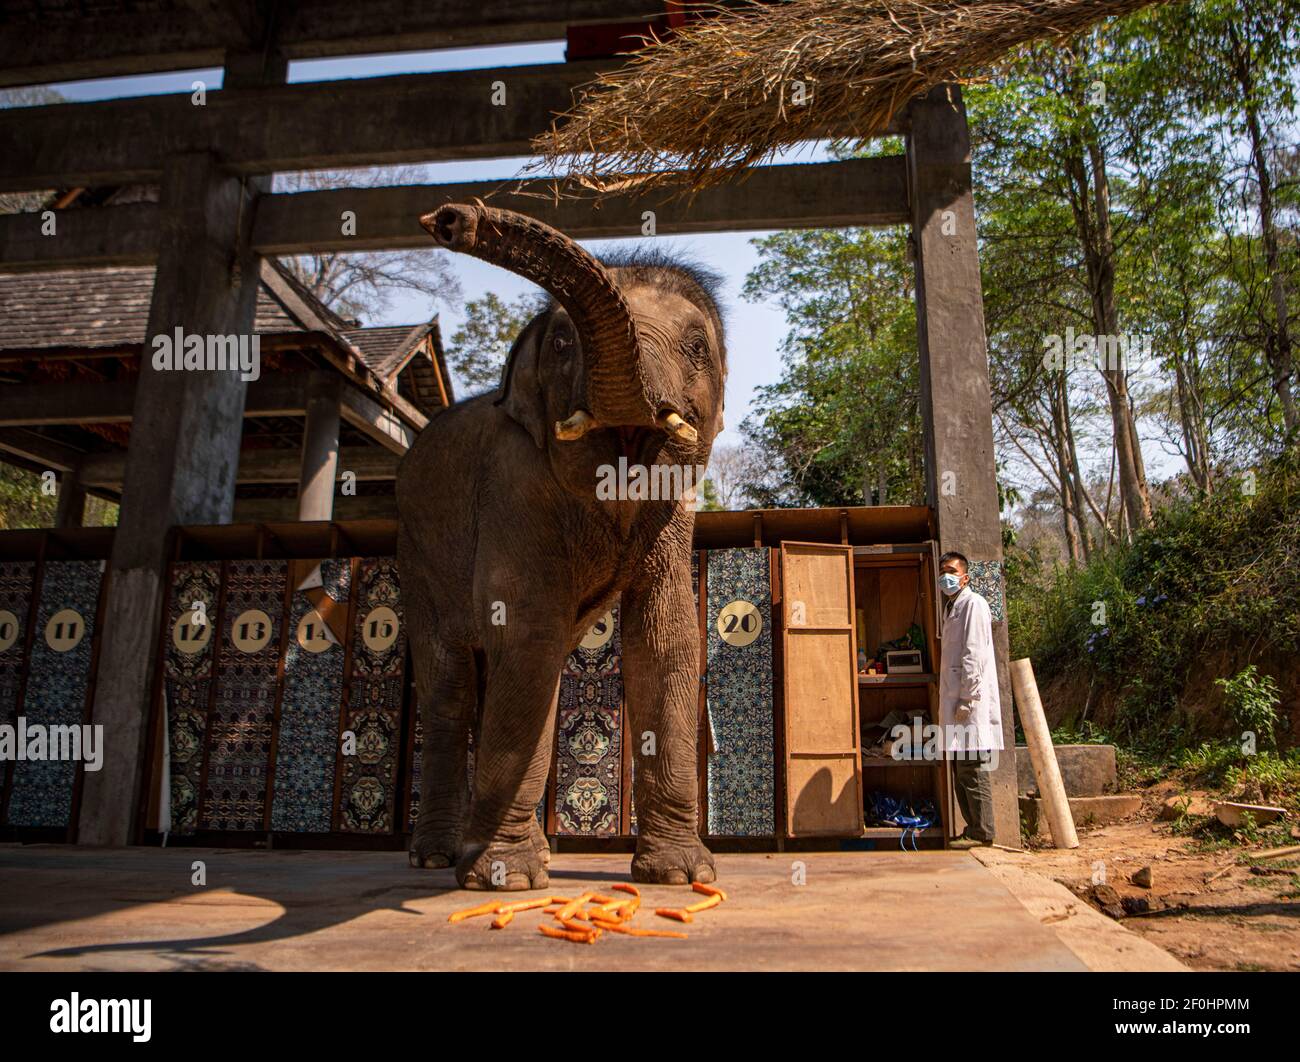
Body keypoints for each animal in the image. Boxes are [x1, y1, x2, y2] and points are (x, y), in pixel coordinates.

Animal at [395, 202, 728, 889]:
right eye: (562, 345)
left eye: (696, 347)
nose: (452, 218)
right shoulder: (514, 484)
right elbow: (527, 631)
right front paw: (506, 881)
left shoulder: (674, 512)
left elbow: (665, 637)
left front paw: (681, 877)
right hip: (417, 556)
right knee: (453, 687)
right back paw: (439, 857)